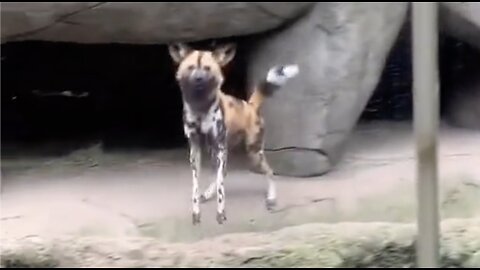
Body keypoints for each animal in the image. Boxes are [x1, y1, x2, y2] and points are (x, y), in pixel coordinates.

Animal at [167, 41, 298, 224]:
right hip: (217, 151)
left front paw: (220, 214)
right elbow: (196, 186)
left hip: (252, 154)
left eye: (207, 68)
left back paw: (271, 199)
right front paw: (196, 213)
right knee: (223, 173)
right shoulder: (195, 149)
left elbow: (221, 189)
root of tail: (250, 105)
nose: (198, 79)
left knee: (270, 172)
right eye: (191, 67)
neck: (200, 108)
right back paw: (208, 193)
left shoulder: (219, 148)